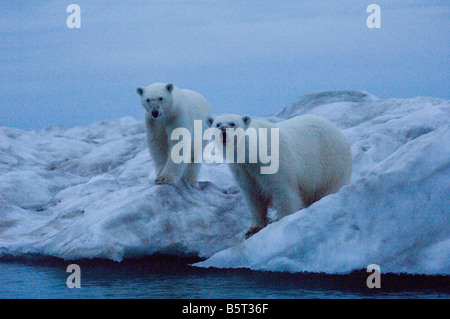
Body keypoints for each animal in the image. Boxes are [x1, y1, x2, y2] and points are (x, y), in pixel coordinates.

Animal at [207, 114, 352, 238]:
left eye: (233, 123)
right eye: (217, 124)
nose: (223, 132)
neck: (252, 152)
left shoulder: (274, 161)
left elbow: (283, 191)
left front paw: (283, 220)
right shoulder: (242, 170)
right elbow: (252, 196)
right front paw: (253, 228)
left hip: (330, 164)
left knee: (328, 188)